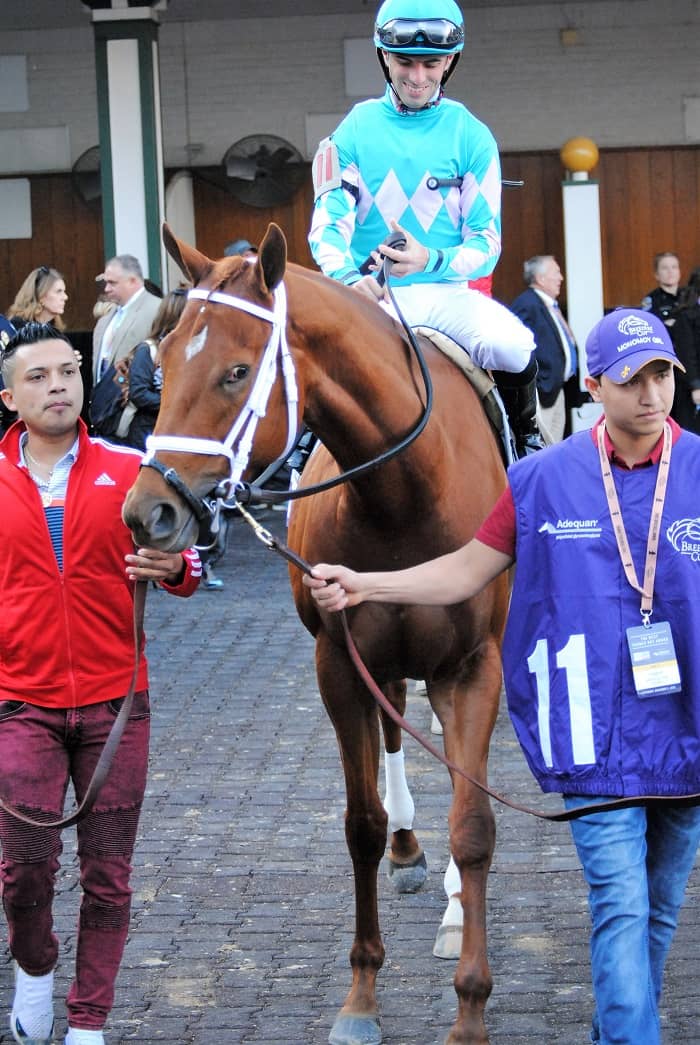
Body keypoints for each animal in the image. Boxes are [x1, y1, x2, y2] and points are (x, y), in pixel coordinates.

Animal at [123, 224, 509, 1040]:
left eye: (237, 371)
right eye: (164, 360)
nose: (148, 514)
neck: (406, 491)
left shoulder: (472, 665)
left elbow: (475, 824)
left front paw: (469, 1003)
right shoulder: (338, 661)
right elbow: (360, 823)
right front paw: (361, 995)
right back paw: (407, 848)